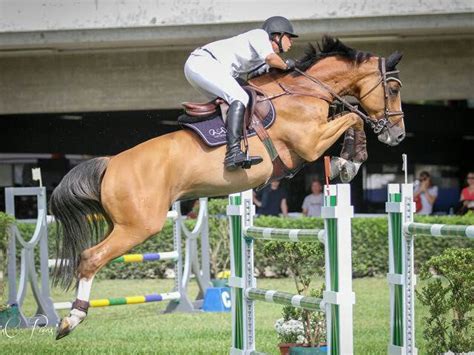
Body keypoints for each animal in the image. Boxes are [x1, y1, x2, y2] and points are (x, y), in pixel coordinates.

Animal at [53, 36, 406, 340]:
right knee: (90, 258)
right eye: (392, 88)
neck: (304, 92)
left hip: (122, 224)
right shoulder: (310, 143)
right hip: (139, 226)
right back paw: (71, 319)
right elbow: (353, 119)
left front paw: (346, 162)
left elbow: (349, 117)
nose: (398, 135)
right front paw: (350, 161)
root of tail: (111, 163)